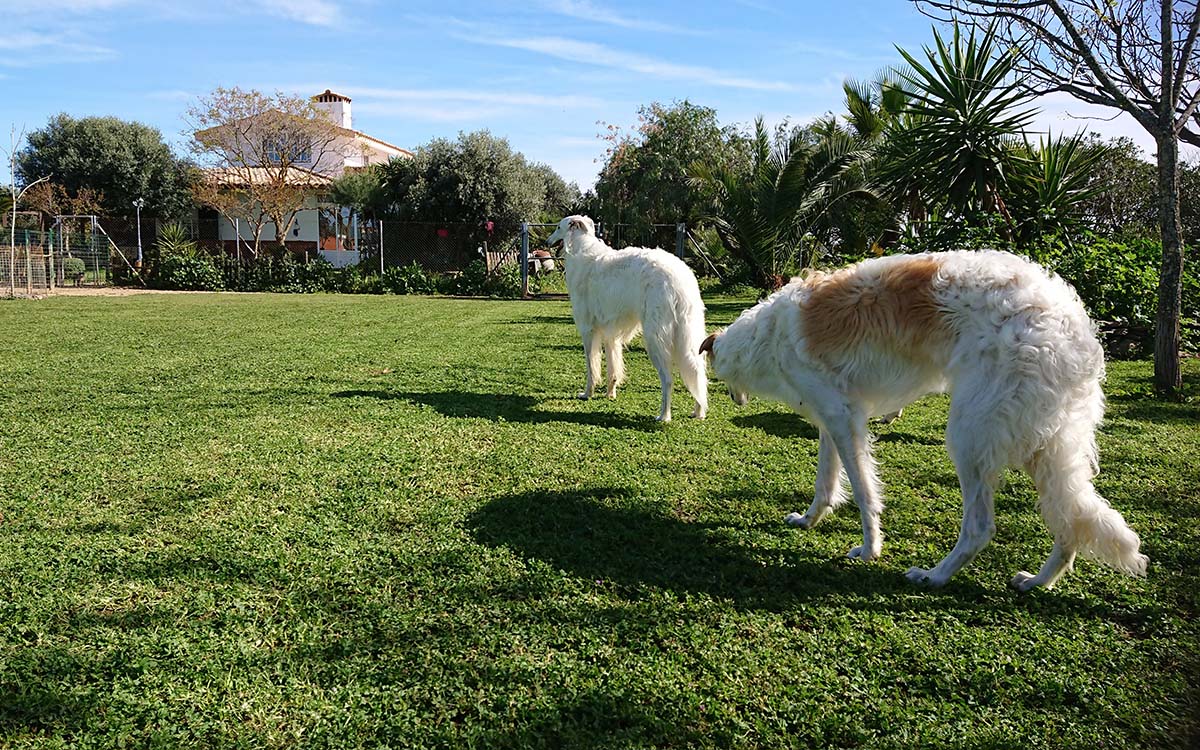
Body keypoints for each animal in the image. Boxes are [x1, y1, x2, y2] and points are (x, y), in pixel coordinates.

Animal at [546, 215, 707, 422]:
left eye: (558, 227)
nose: (546, 242)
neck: (581, 247)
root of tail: (679, 277)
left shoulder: (588, 330)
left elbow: (592, 367)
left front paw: (587, 393)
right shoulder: (610, 333)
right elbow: (613, 369)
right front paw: (610, 394)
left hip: (655, 339)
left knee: (668, 379)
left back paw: (664, 415)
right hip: (690, 336)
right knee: (698, 373)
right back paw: (698, 412)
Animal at [700, 250, 1148, 590]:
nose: (733, 400)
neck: (767, 336)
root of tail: (1075, 329)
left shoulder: (845, 420)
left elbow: (863, 494)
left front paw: (869, 550)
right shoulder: (833, 417)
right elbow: (825, 486)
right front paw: (808, 520)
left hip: (970, 436)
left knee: (981, 527)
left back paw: (934, 576)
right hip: (1044, 442)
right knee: (1070, 519)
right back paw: (1038, 581)